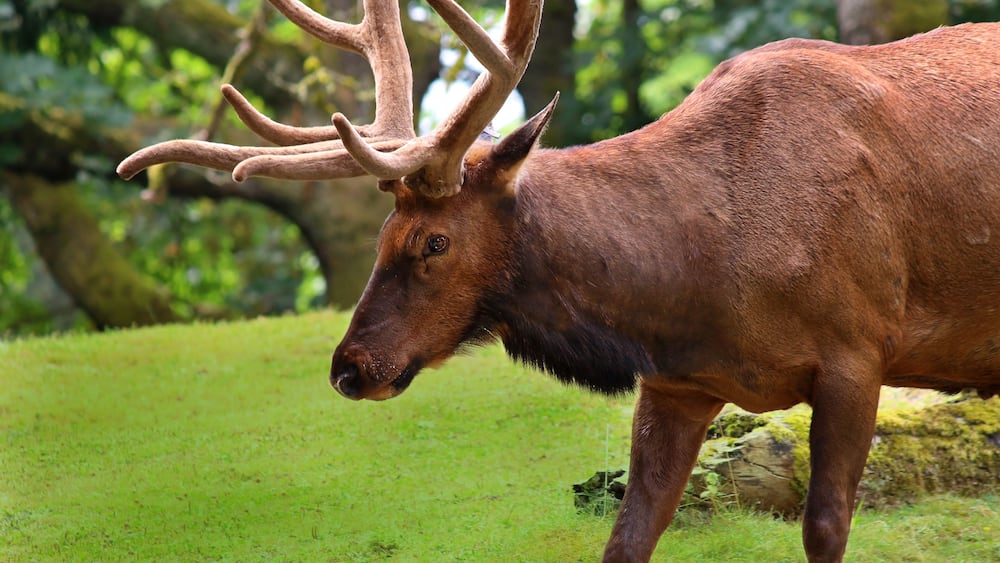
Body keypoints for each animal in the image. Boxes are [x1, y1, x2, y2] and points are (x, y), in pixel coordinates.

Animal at [118, 1, 1000, 561]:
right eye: (380, 237)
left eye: (434, 240)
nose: (348, 367)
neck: (704, 276)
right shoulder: (678, 381)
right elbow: (628, 534)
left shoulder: (859, 347)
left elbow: (824, 528)